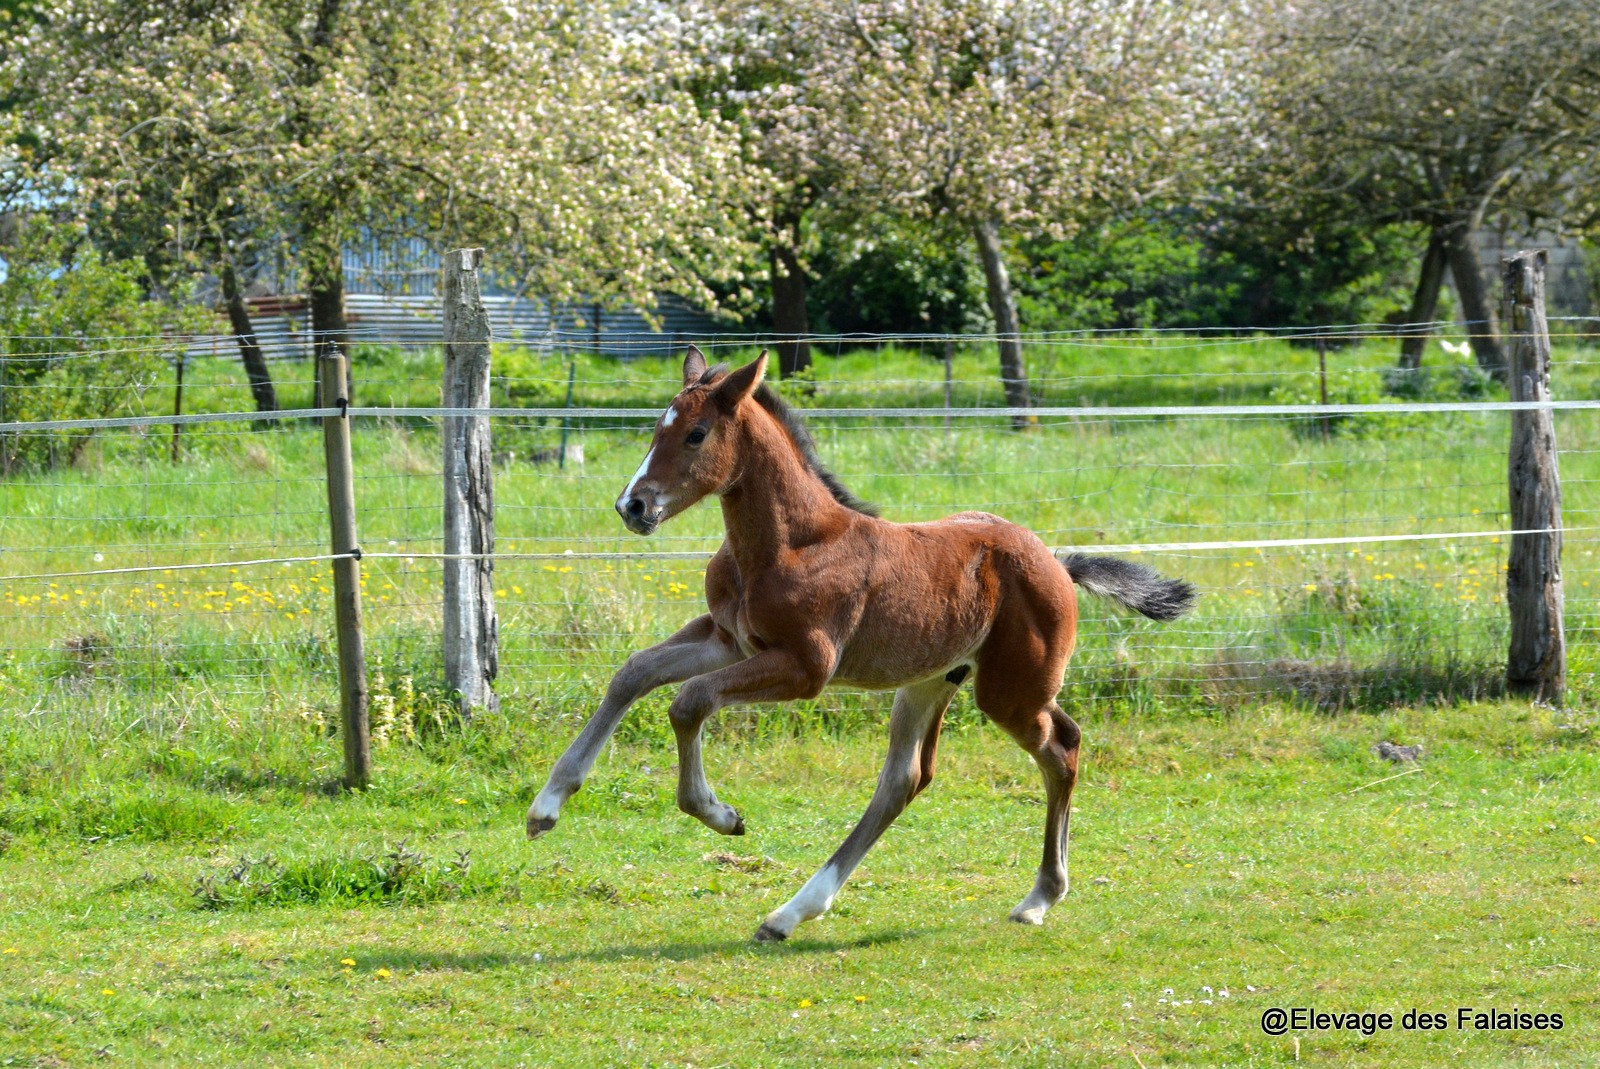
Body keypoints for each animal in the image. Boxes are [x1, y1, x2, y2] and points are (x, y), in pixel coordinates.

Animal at [531, 347, 1196, 940]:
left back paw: (1039, 898)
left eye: (695, 434)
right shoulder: (728, 640)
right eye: (656, 429)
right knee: (905, 780)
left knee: (1062, 747)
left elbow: (688, 701)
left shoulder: (805, 668)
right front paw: (547, 805)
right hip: (931, 680)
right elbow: (635, 673)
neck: (790, 544)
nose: (633, 505)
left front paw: (721, 815)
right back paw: (791, 914)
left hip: (1009, 691)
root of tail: (1057, 561)